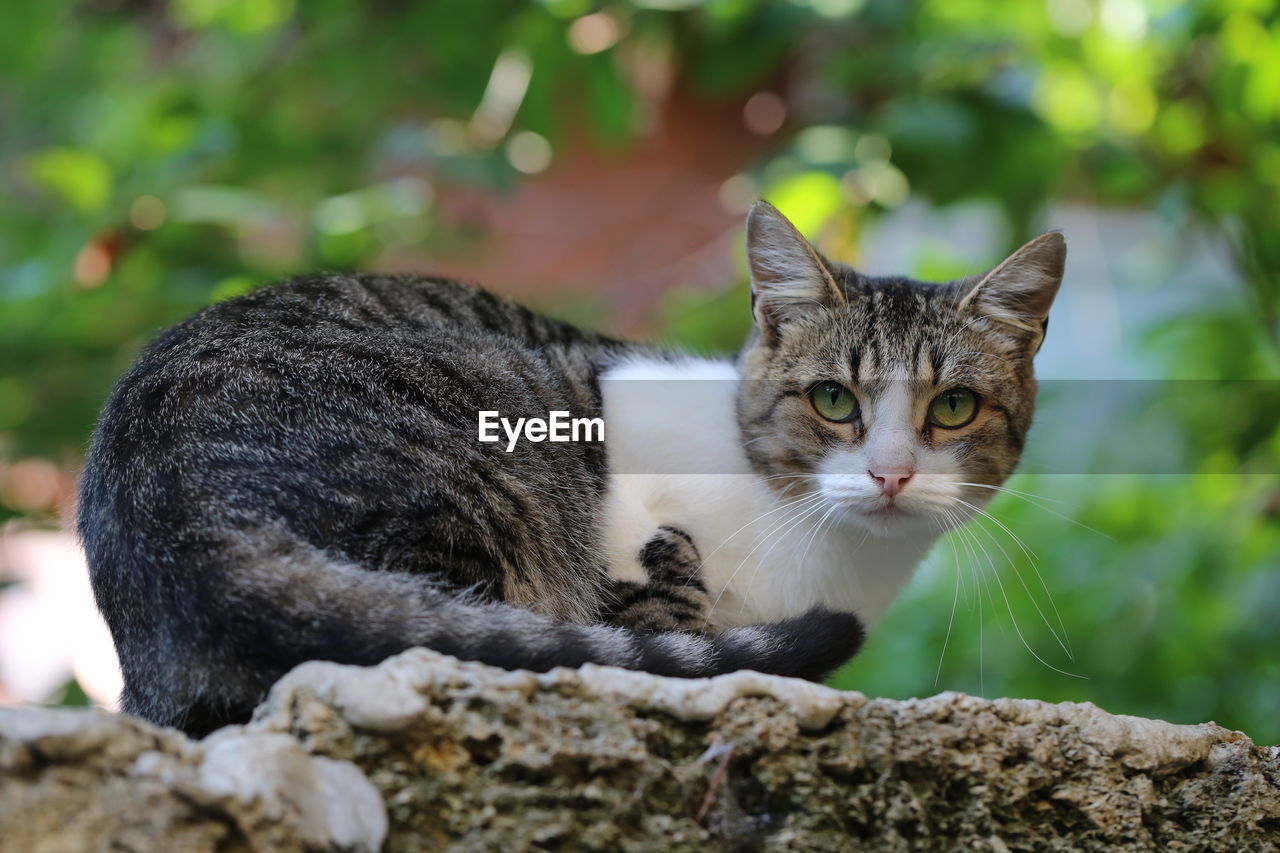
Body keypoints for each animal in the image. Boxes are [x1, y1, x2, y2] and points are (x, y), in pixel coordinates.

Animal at [74, 199, 1064, 732]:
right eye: (832, 399)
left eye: (953, 408)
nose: (891, 472)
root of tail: (171, 513)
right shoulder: (611, 440)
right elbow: (654, 588)